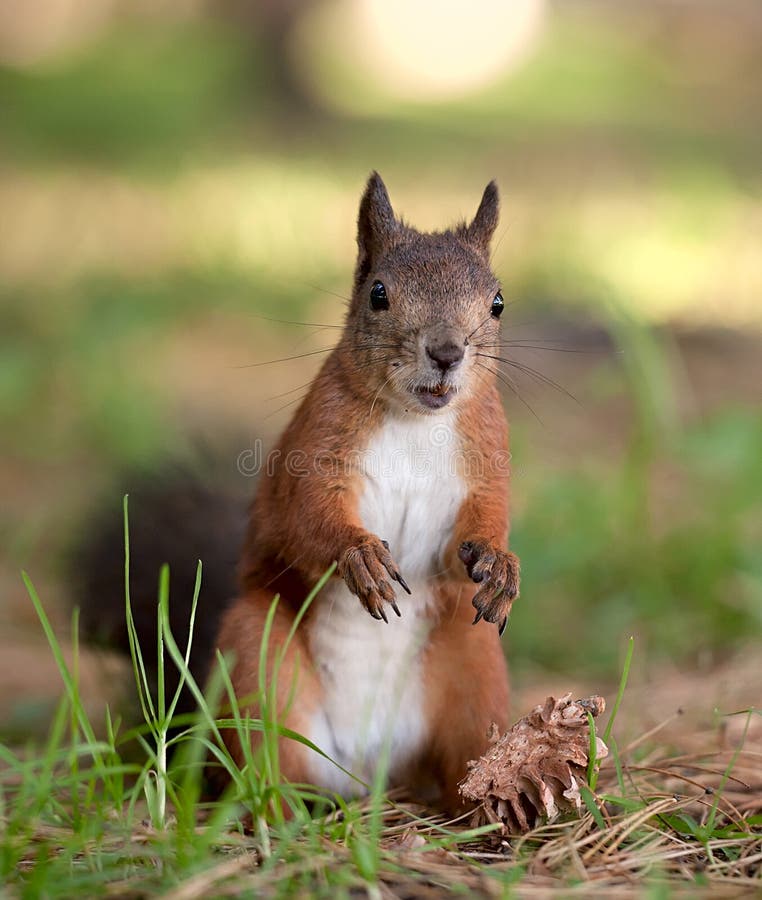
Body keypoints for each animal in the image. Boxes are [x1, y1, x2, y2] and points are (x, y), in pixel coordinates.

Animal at [217, 174, 520, 808]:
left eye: (498, 303)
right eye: (378, 294)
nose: (447, 353)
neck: (415, 422)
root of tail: (366, 774)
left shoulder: (486, 461)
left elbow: (481, 523)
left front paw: (500, 562)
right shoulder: (314, 451)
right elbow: (305, 518)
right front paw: (359, 555)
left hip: (475, 668)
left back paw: (496, 806)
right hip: (258, 659)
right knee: (266, 756)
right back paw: (273, 810)